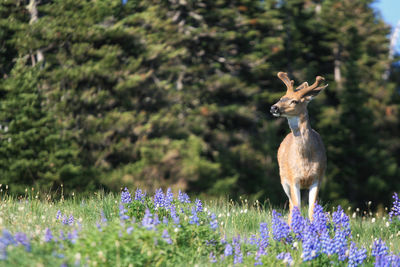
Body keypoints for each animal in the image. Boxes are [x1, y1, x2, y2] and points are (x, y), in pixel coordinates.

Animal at [268, 71, 328, 226]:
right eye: (281, 98)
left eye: (294, 101)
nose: (274, 107)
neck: (306, 158)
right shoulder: (292, 177)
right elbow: (297, 207)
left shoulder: (318, 177)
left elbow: (312, 209)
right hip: (283, 178)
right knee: (291, 204)